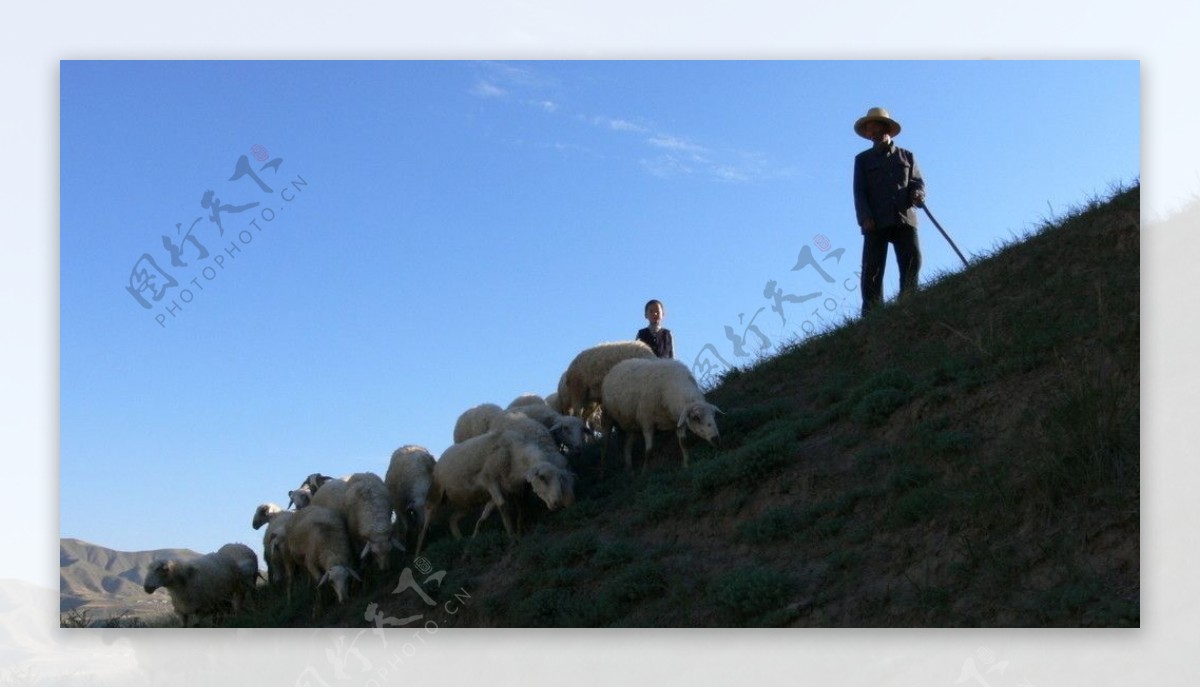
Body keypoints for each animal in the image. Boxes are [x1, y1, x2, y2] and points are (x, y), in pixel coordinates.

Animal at [417, 427, 576, 554]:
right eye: (542, 478)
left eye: (560, 479)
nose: (558, 503)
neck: (514, 456)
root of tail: (442, 457)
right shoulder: (490, 481)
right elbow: (504, 507)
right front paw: (512, 538)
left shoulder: (503, 490)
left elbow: (485, 518)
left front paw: (471, 546)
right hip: (436, 494)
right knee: (424, 526)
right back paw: (417, 555)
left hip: (467, 503)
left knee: (452, 519)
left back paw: (460, 541)